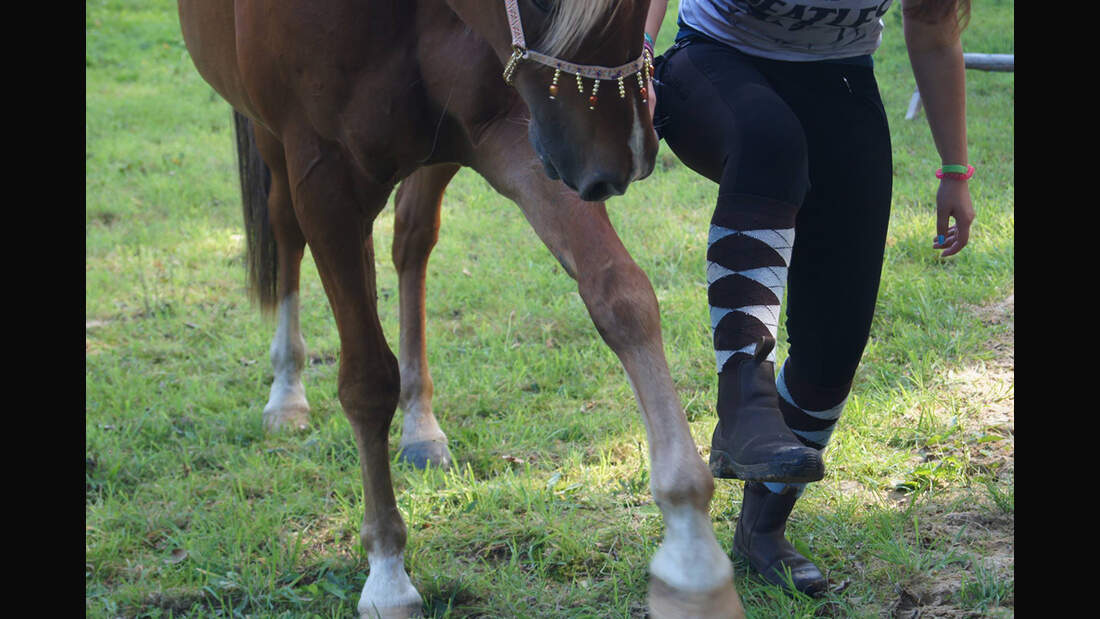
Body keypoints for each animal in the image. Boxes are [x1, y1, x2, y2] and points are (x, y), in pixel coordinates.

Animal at [180, 2, 743, 615]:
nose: (630, 157)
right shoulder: (324, 177)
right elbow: (365, 380)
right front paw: (387, 575)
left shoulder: (518, 131)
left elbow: (621, 296)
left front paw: (692, 558)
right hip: (274, 141)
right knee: (285, 229)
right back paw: (286, 393)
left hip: (444, 152)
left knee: (411, 238)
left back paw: (420, 427)